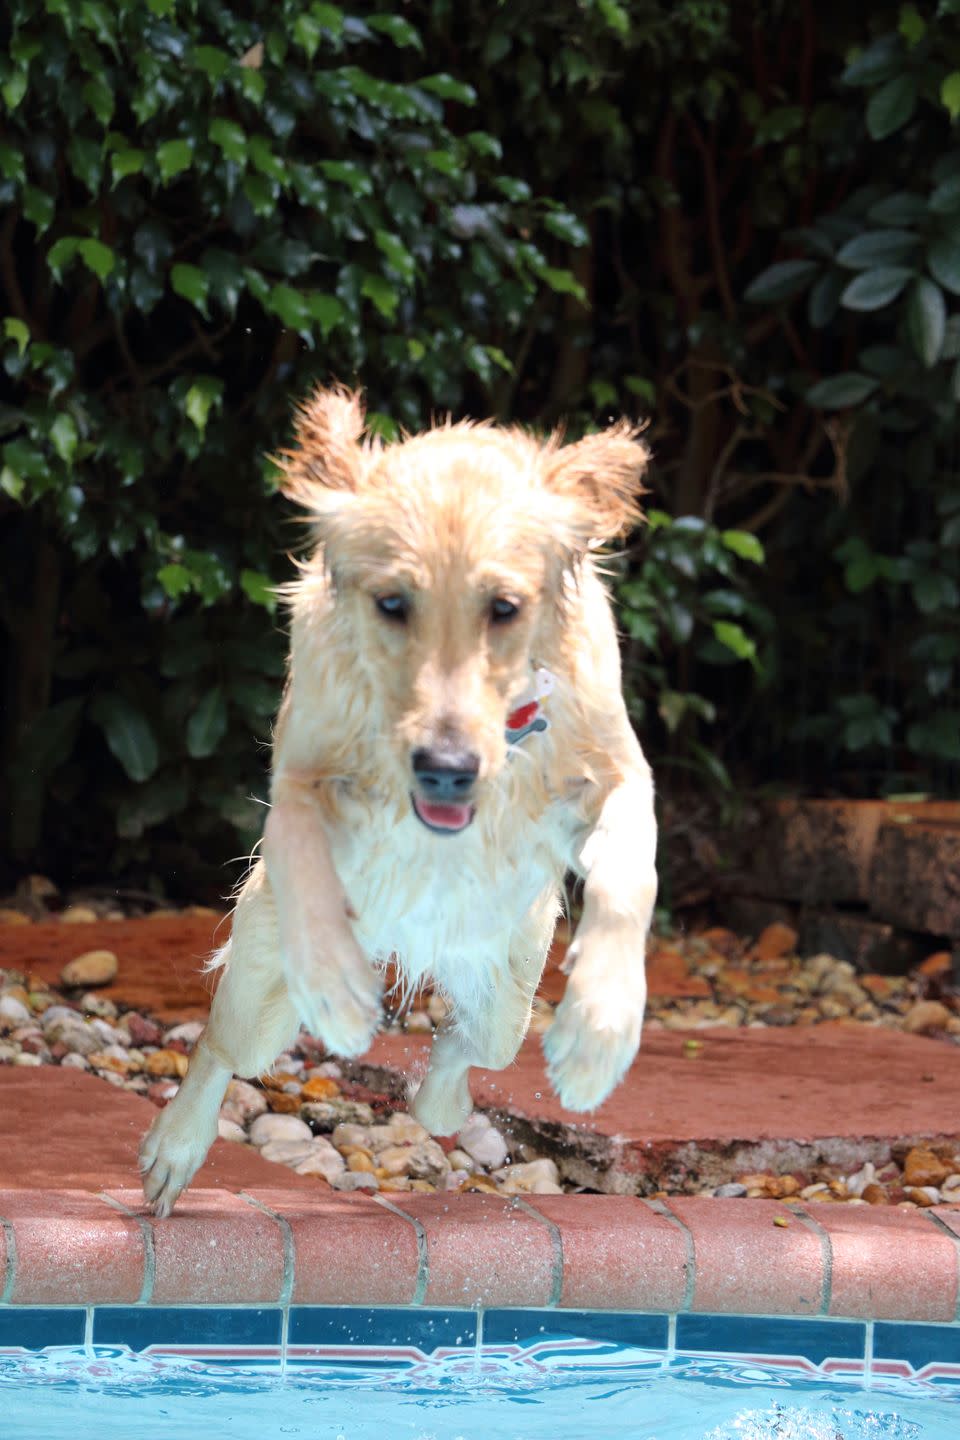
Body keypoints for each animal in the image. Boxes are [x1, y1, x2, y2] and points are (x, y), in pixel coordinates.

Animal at [138, 385, 656, 1215]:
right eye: (392, 603)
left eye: (504, 608)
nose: (446, 769)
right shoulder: (300, 779)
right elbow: (308, 860)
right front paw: (337, 991)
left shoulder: (615, 772)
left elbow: (629, 879)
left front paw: (598, 1030)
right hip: (261, 984)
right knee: (223, 1045)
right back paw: (176, 1147)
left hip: (511, 970)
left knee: (476, 1045)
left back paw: (443, 1101)